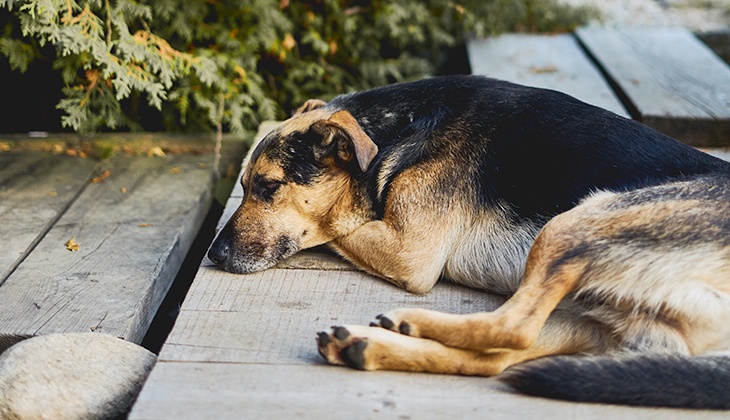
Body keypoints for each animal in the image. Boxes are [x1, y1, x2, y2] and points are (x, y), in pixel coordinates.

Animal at [208, 75, 728, 410]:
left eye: (268, 186)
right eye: (244, 185)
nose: (213, 255)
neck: (403, 127)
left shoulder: (409, 252)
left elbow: (337, 223)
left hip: (576, 224)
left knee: (513, 327)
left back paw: (407, 323)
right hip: (592, 313)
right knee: (497, 357)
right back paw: (367, 345)